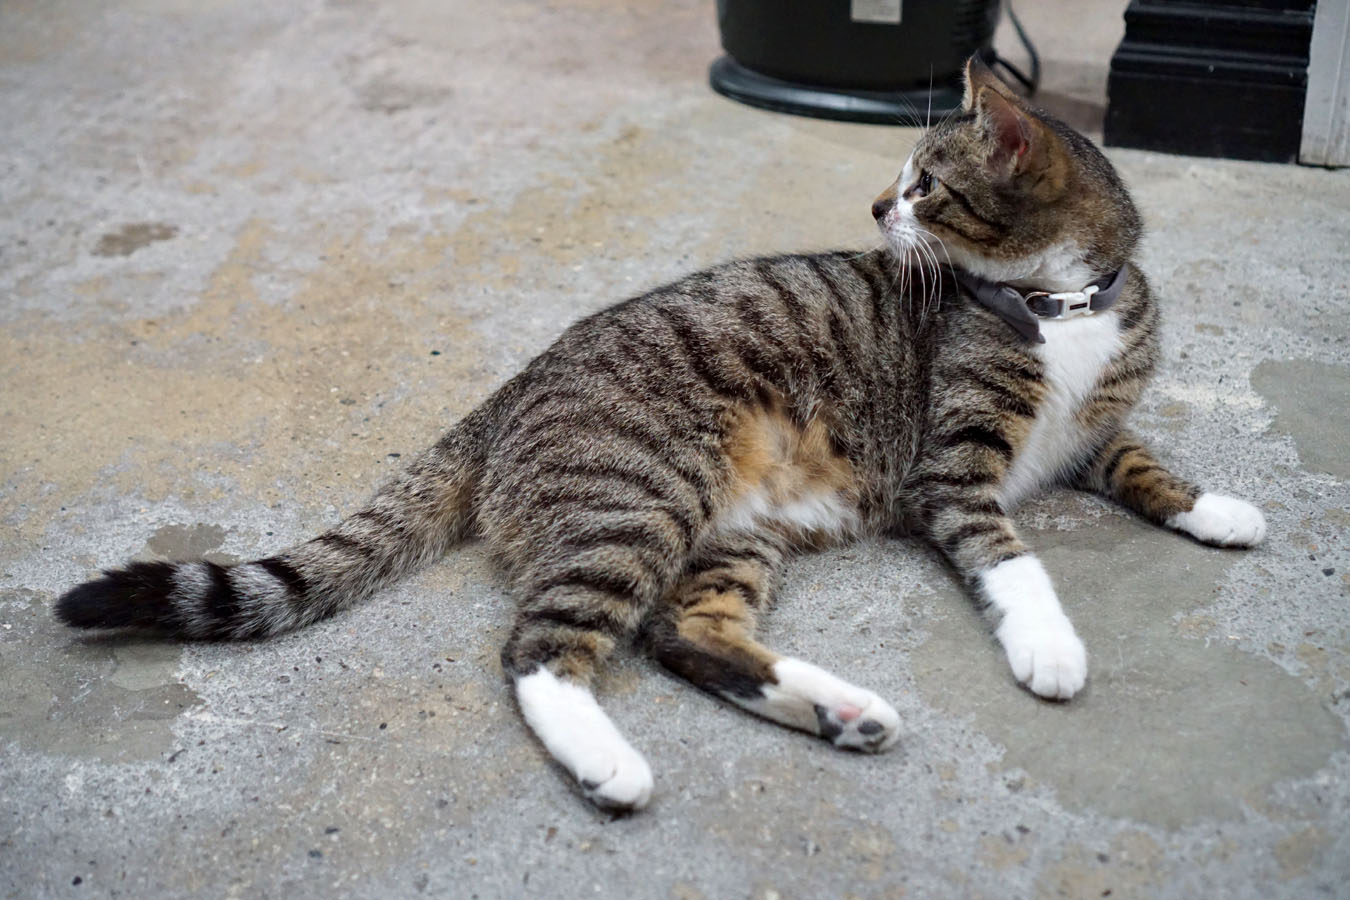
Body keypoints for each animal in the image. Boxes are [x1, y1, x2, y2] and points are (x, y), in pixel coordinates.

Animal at [52, 59, 1263, 814]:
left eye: (925, 184)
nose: (877, 207)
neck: (1062, 307)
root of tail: (513, 389)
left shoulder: (1092, 434)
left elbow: (1146, 465)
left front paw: (1220, 509)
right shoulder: (954, 471)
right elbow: (1016, 562)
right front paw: (1049, 647)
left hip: (735, 534)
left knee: (682, 632)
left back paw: (839, 711)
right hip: (640, 500)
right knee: (541, 651)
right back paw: (613, 764)